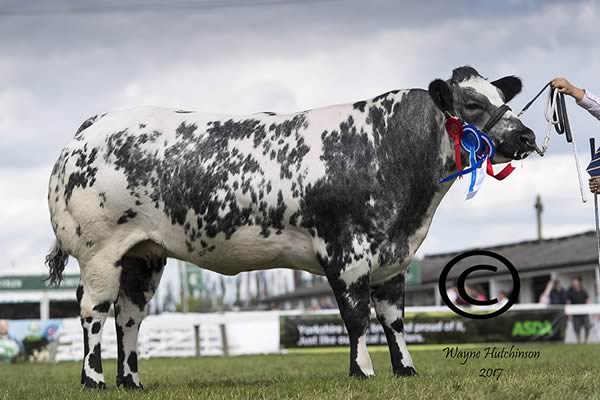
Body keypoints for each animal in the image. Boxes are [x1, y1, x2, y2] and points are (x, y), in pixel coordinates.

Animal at [45, 65, 536, 388]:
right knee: (93, 309)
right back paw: (94, 379)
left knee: (129, 314)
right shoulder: (347, 253)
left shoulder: (392, 259)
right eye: (472, 103)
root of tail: (94, 125)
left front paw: (406, 369)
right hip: (100, 251)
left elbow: (394, 319)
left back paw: (131, 381)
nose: (527, 136)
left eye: (504, 100)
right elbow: (357, 317)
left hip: (143, 255)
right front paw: (363, 371)